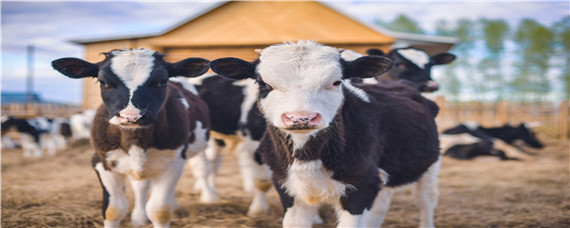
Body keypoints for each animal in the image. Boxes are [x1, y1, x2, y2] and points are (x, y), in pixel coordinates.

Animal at [51, 48, 214, 228]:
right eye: (103, 82)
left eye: (162, 81)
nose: (131, 116)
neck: (135, 140)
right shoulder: (101, 161)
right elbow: (113, 210)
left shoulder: (174, 162)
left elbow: (159, 210)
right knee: (140, 185)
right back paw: (139, 217)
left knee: (202, 169)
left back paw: (208, 197)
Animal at [209, 41, 440, 228]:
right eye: (263, 83)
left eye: (337, 81)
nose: (300, 118)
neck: (306, 157)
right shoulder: (286, 187)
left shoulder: (361, 187)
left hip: (430, 165)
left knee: (426, 202)